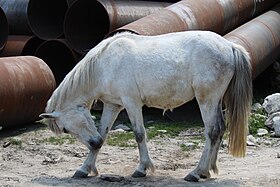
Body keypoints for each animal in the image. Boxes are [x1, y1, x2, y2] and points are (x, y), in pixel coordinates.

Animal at [38, 30, 252, 181]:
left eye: (65, 130)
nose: (94, 143)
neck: (104, 65)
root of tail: (229, 46)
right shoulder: (112, 105)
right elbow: (104, 133)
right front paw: (84, 169)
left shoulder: (131, 103)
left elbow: (139, 135)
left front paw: (142, 169)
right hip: (215, 101)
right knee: (220, 129)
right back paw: (207, 171)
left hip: (206, 100)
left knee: (212, 131)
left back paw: (196, 172)